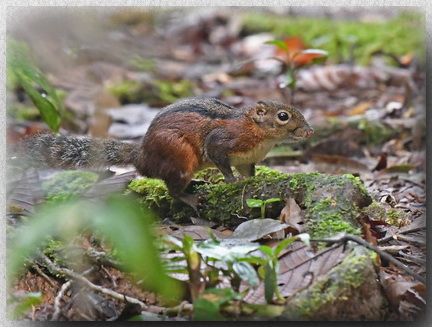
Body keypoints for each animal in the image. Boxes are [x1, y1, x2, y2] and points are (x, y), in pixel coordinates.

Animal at [11, 96, 314, 211]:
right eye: (284, 116)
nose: (309, 131)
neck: (259, 133)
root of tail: (142, 156)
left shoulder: (248, 160)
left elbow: (248, 172)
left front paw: (249, 182)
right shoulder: (222, 142)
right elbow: (221, 162)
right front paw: (231, 183)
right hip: (180, 156)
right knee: (172, 188)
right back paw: (190, 197)